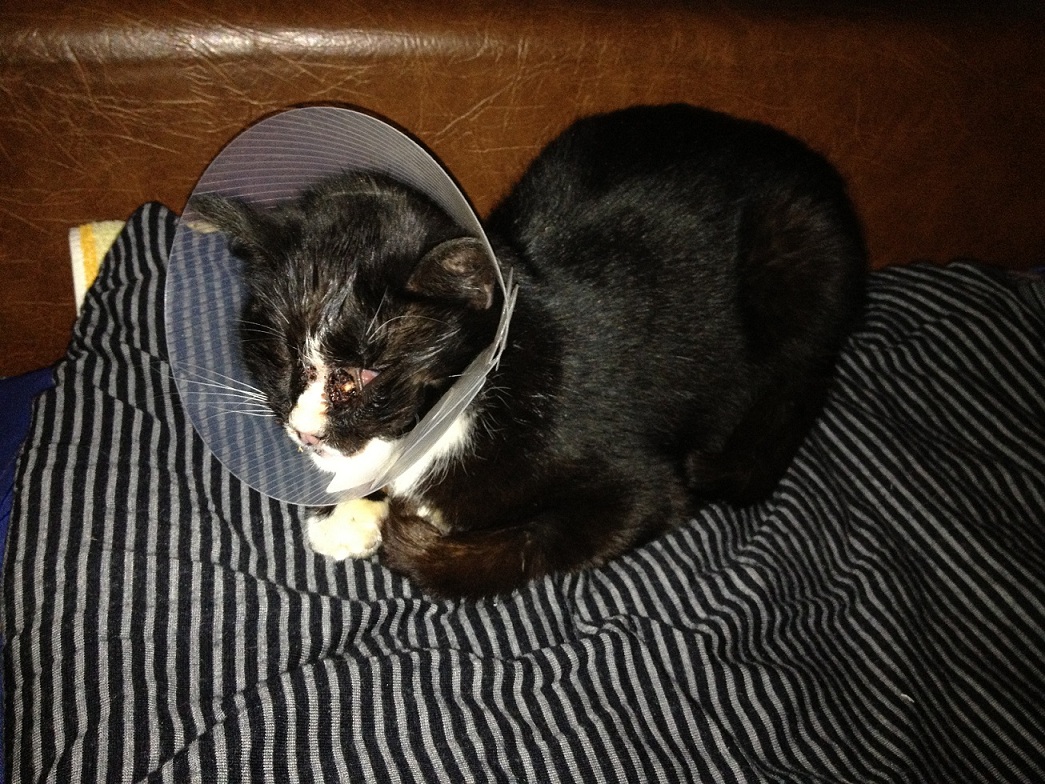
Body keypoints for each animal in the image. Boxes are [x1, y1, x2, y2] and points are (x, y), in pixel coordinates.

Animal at [191, 103, 866, 599]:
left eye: (364, 373)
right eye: (281, 357)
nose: (304, 430)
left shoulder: (635, 479)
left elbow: (548, 536)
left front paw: (412, 535)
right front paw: (353, 517)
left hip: (800, 257)